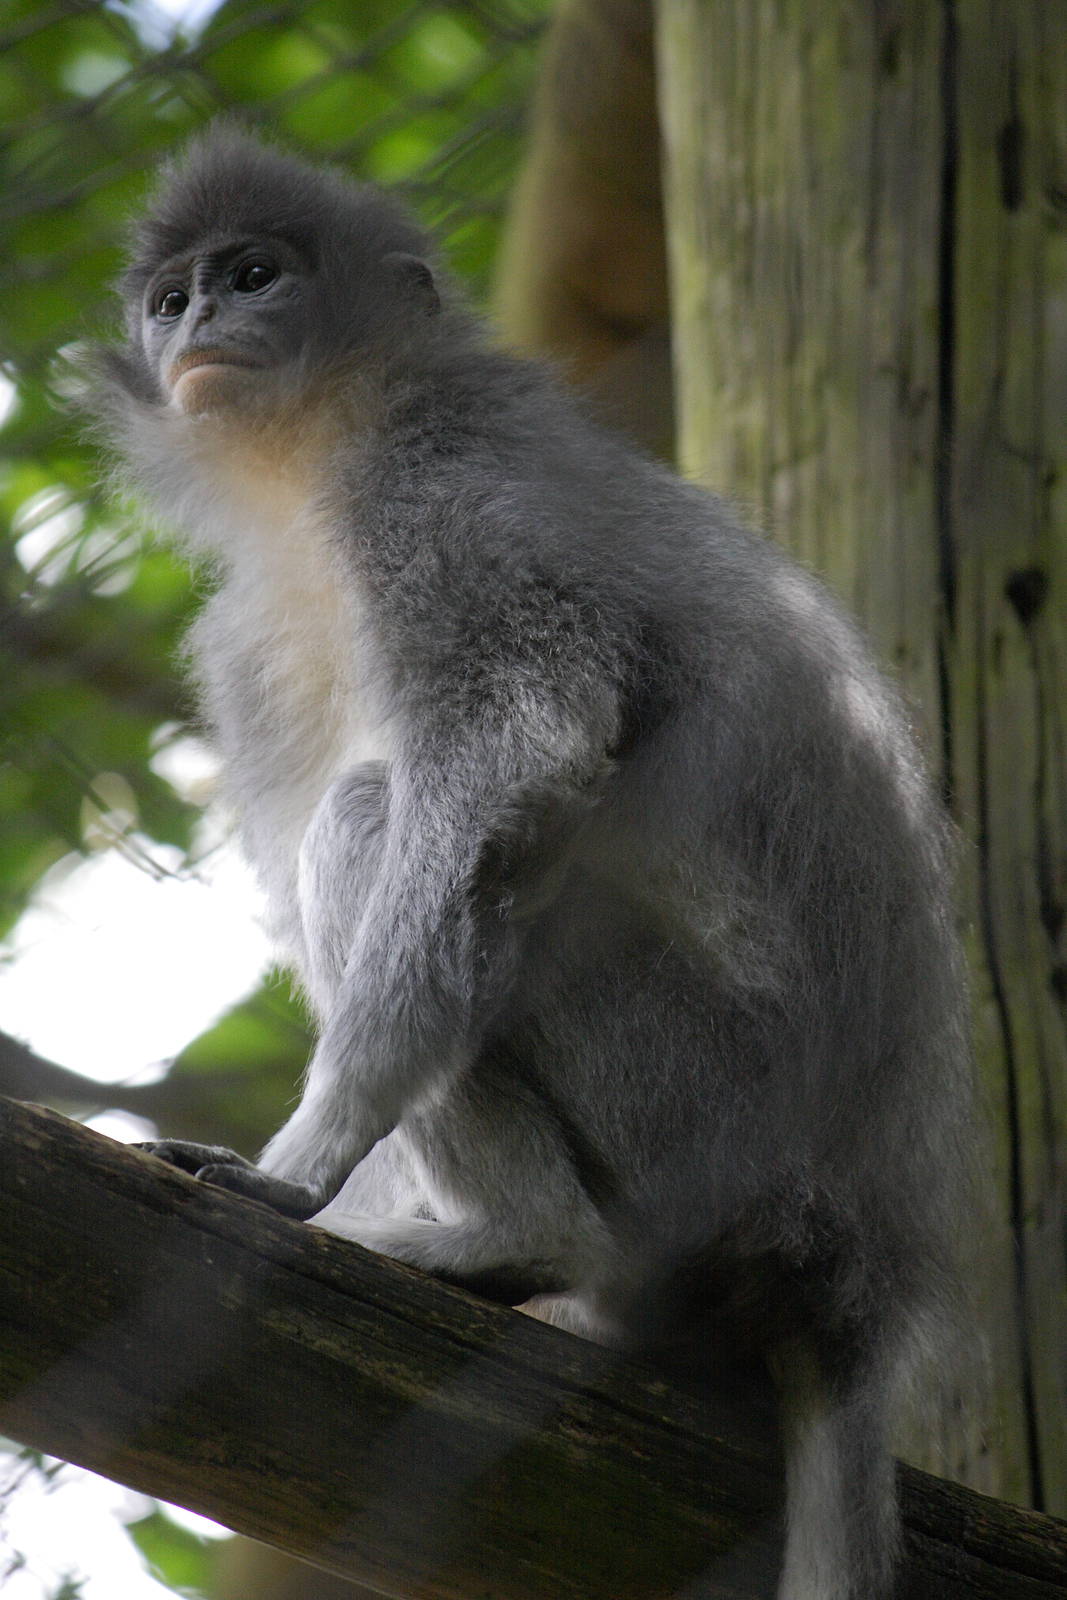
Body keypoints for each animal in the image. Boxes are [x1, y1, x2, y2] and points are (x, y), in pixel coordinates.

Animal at [86, 126, 972, 1599]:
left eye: (253, 275)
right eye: (169, 300)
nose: (198, 322)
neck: (324, 448)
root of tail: (861, 1286)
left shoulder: (440, 500)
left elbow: (516, 762)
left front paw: (306, 1163)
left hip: (698, 1108)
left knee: (377, 821)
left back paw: (516, 1241)